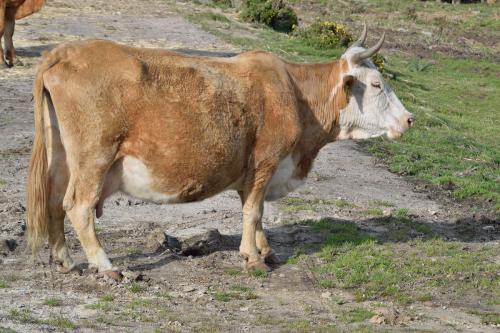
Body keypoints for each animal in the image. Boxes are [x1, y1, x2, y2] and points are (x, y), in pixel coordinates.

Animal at [24, 26, 414, 280]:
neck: (296, 95)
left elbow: (256, 211)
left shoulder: (254, 172)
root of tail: (65, 51)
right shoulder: (266, 161)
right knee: (78, 206)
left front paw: (265, 250)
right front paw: (253, 258)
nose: (409, 119)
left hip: (62, 156)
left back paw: (65, 260)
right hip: (94, 157)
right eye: (377, 84)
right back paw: (105, 266)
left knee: (55, 201)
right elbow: (253, 210)